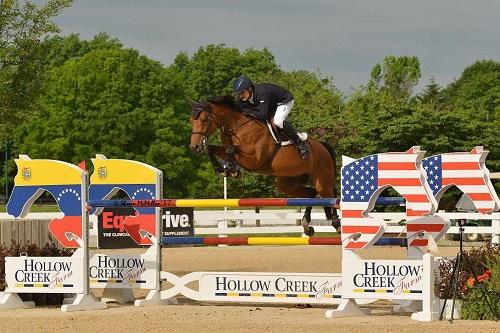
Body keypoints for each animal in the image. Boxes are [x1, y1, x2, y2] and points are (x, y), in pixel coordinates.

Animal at [188, 93, 340, 235]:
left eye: (205, 119)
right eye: (191, 120)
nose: (194, 146)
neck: (236, 127)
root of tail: (322, 146)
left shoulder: (255, 160)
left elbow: (232, 149)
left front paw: (232, 169)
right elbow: (212, 149)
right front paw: (224, 169)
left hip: (322, 182)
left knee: (331, 197)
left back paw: (336, 224)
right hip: (287, 181)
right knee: (311, 193)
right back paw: (306, 225)